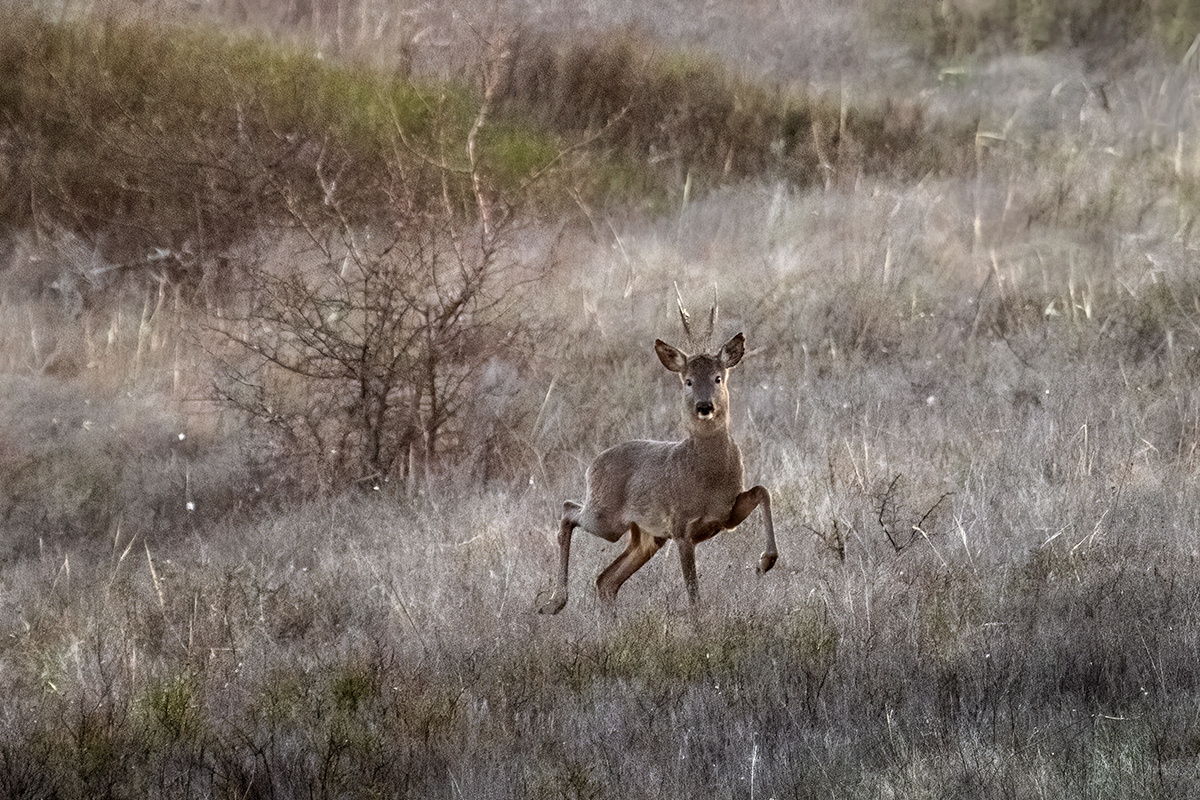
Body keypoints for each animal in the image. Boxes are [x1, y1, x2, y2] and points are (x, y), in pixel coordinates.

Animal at [537, 293, 777, 614]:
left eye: (718, 377)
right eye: (688, 381)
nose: (704, 406)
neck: (707, 475)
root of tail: (593, 463)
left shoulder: (726, 514)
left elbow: (763, 491)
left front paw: (765, 562)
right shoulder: (681, 528)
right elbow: (693, 595)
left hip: (647, 537)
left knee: (606, 579)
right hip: (608, 519)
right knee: (568, 510)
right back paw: (554, 602)